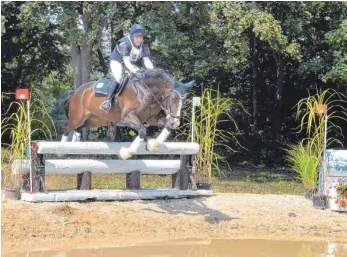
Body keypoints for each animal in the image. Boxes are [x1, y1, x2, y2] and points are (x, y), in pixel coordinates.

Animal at [59, 69, 196, 159]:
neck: (146, 92)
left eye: (184, 100)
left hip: (95, 120)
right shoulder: (127, 118)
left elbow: (166, 125)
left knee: (78, 128)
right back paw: (61, 151)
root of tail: (77, 91)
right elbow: (142, 130)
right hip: (77, 117)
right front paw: (126, 153)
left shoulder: (151, 118)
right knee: (67, 127)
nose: (176, 122)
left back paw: (74, 147)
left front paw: (153, 145)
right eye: (173, 98)